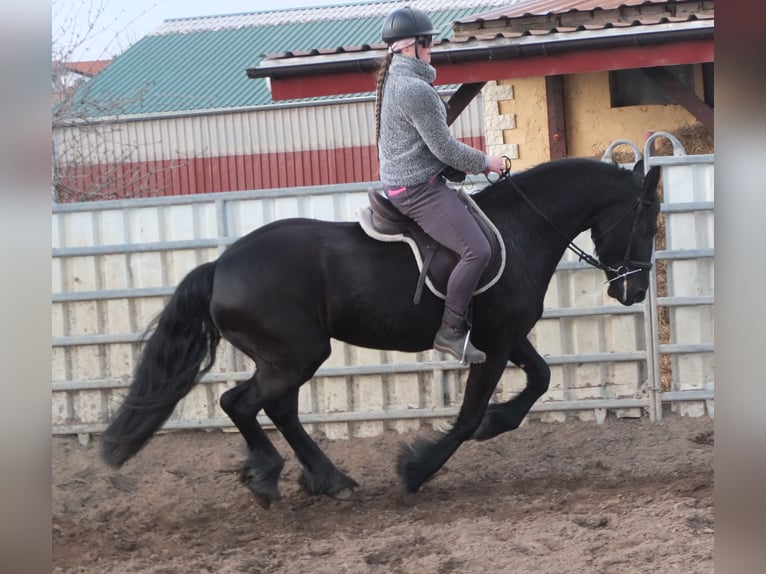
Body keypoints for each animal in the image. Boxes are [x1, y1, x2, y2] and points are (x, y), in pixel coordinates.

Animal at [102, 158, 664, 508]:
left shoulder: (506, 337)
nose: (634, 291)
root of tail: (221, 265)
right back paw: (276, 476)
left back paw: (326, 479)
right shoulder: (497, 341)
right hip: (295, 355)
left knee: (274, 409)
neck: (522, 227)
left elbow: (541, 379)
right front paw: (416, 470)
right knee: (241, 403)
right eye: (648, 224)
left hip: (287, 358)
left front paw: (495, 423)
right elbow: (467, 417)